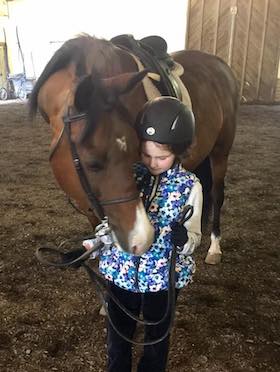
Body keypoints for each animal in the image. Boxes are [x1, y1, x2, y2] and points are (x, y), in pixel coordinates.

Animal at [28, 34, 238, 262]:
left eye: (133, 154)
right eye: (92, 163)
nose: (142, 238)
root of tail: (218, 63)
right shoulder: (90, 207)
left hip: (221, 151)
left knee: (217, 194)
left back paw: (214, 247)